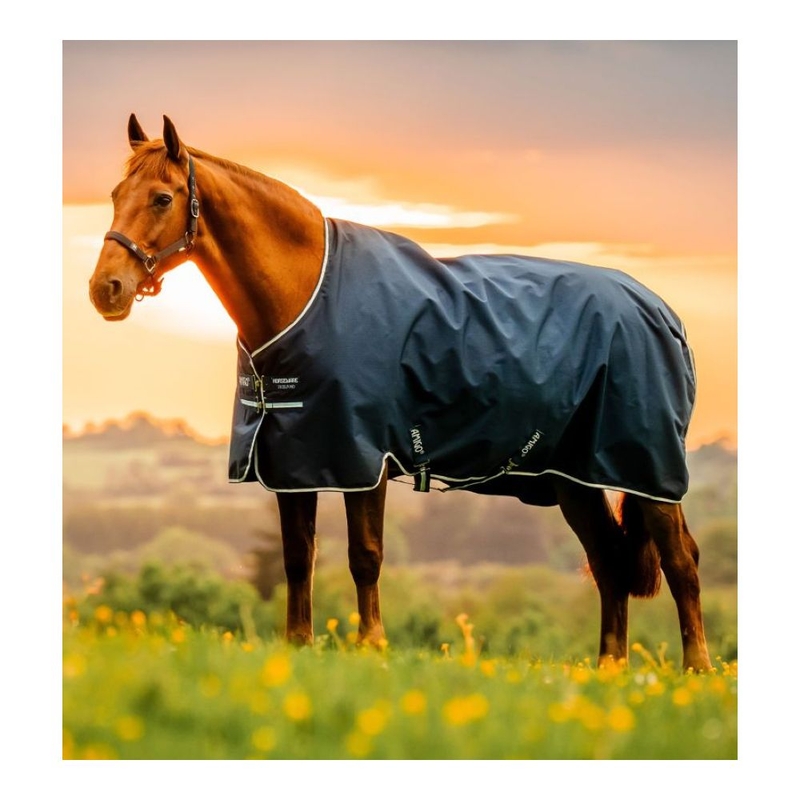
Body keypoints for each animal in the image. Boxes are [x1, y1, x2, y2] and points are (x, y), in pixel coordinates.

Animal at [88, 114, 713, 672]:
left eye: (162, 198)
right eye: (116, 193)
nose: (105, 289)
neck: (307, 295)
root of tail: (663, 313)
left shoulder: (363, 458)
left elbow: (365, 557)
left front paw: (372, 646)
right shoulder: (294, 460)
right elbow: (297, 558)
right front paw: (299, 645)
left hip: (648, 469)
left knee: (681, 561)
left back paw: (697, 670)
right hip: (573, 479)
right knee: (608, 562)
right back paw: (610, 669)